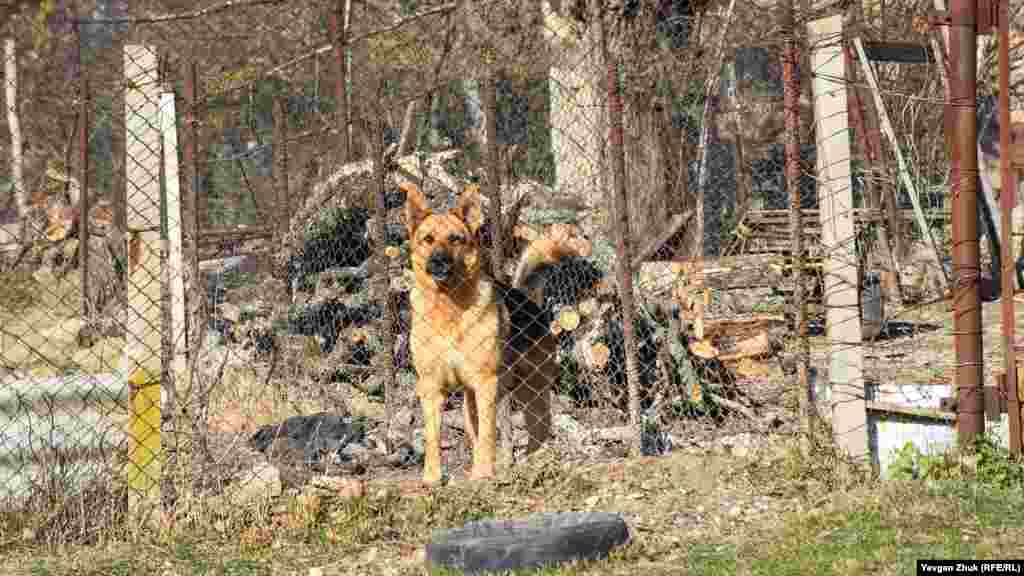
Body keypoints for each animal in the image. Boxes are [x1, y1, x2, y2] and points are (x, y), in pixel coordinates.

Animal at [401, 181, 577, 481]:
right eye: (428, 239)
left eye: (455, 239)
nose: (439, 262)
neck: (449, 308)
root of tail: (527, 299)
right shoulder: (431, 387)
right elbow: (433, 438)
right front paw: (432, 478)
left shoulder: (485, 383)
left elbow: (487, 436)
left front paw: (483, 473)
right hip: (471, 402)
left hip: (531, 391)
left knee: (538, 431)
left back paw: (533, 465)